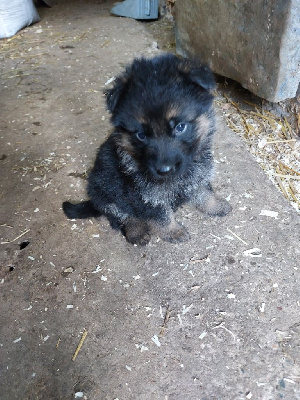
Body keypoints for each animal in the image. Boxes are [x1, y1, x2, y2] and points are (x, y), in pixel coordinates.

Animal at [62, 54, 232, 244]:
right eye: (141, 135)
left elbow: (204, 191)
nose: (164, 170)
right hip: (103, 191)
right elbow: (160, 216)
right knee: (119, 215)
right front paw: (173, 231)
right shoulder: (144, 195)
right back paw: (136, 231)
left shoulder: (197, 174)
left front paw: (215, 205)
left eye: (180, 127)